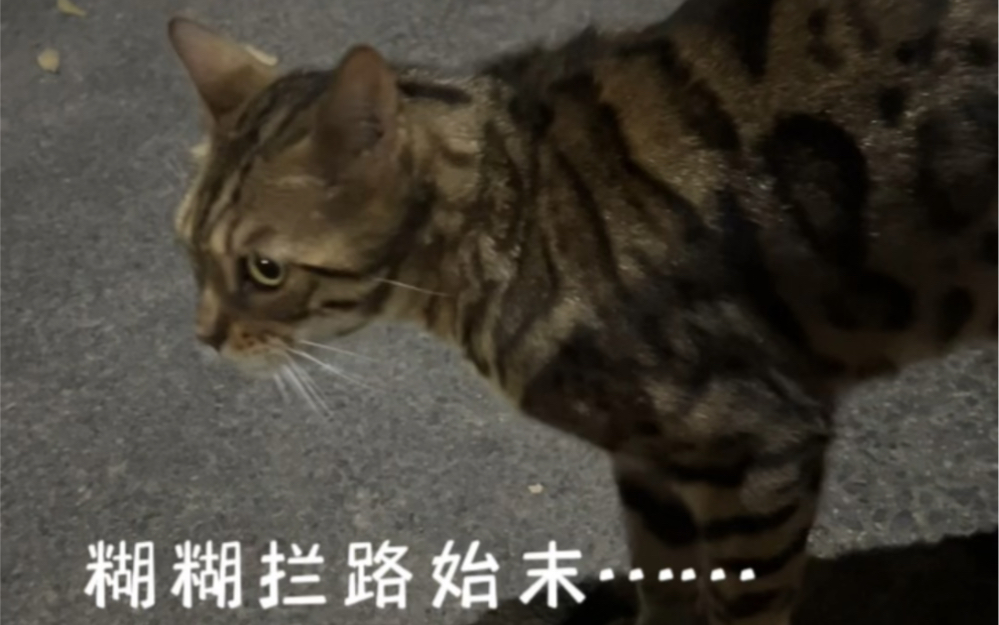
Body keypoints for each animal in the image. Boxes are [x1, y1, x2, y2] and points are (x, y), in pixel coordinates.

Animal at [166, 0, 997, 623]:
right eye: (187, 247)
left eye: (264, 270)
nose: (203, 338)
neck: (514, 206)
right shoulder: (651, 464)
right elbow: (663, 585)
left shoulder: (761, 451)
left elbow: (740, 605)